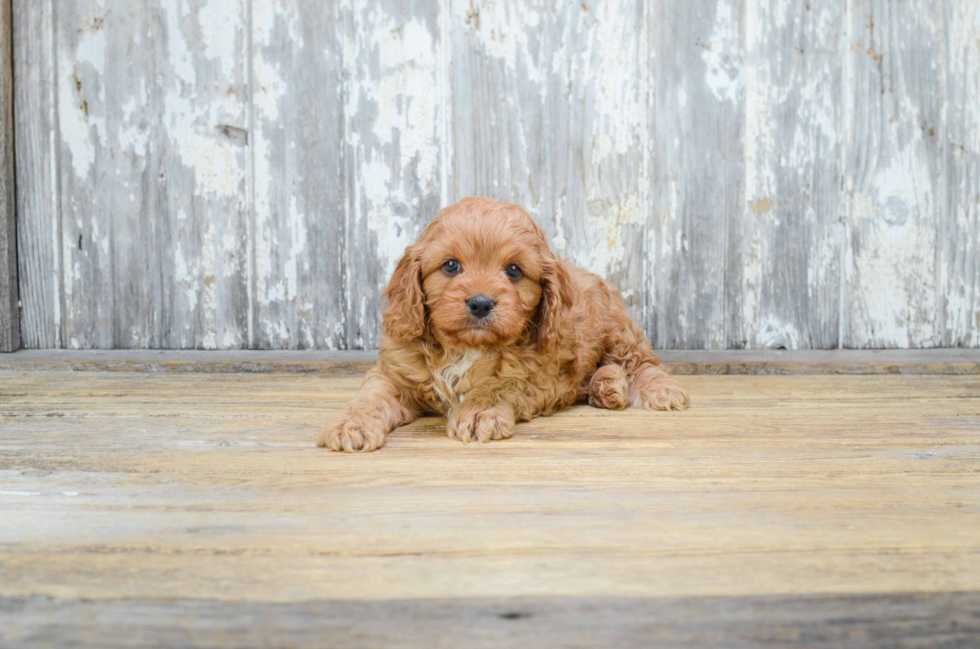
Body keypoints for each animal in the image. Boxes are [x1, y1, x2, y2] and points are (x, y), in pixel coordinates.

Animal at [322, 197, 688, 450]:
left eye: (513, 270)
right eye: (451, 265)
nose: (481, 303)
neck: (466, 348)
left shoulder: (535, 376)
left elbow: (498, 385)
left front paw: (476, 411)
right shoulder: (395, 373)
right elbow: (371, 396)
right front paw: (350, 425)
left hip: (617, 328)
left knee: (641, 362)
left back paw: (657, 388)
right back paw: (607, 386)